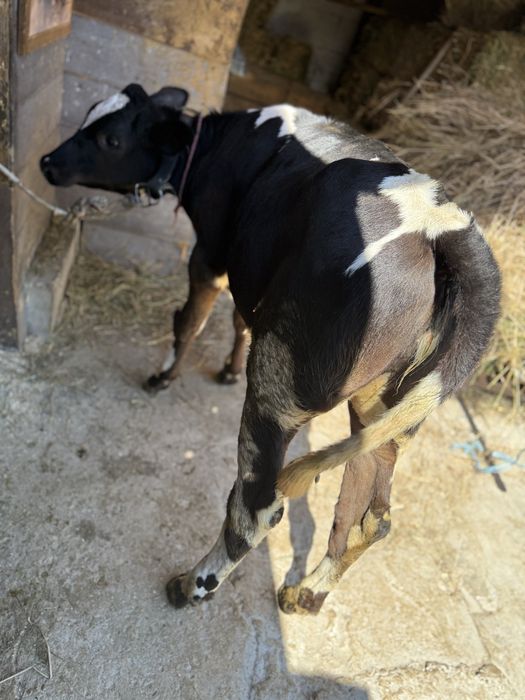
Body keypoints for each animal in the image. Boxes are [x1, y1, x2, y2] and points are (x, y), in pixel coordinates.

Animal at [41, 84, 500, 615]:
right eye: (90, 115)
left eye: (111, 139)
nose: (47, 161)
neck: (219, 143)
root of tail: (444, 225)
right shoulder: (254, 277)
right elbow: (239, 320)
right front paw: (224, 370)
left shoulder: (211, 252)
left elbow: (190, 321)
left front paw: (164, 377)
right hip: (386, 413)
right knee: (371, 513)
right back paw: (307, 594)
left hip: (279, 385)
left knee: (259, 505)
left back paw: (192, 584)